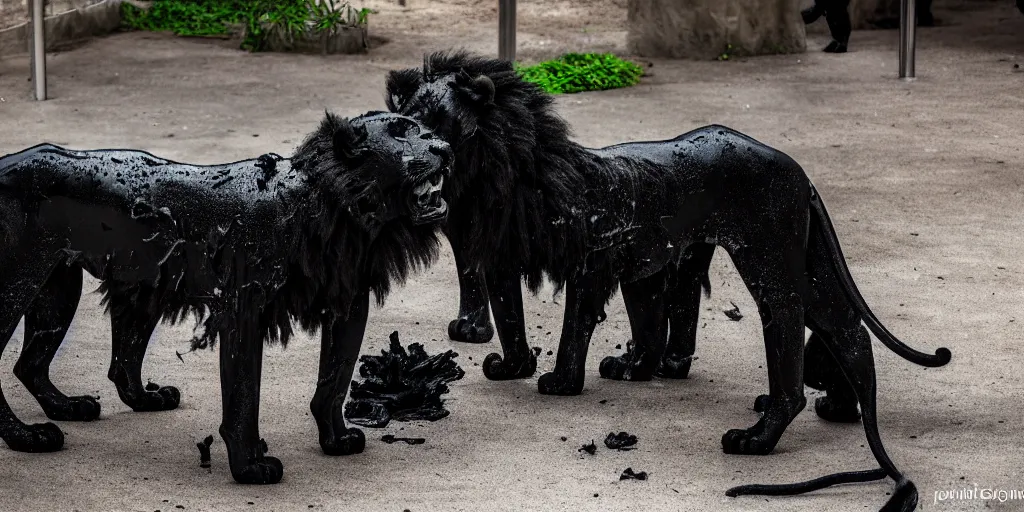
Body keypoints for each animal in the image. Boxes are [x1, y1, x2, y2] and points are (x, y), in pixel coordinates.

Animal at [0, 112, 452, 483]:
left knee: (51, 365)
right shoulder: (244, 313)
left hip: (68, 289)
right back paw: (27, 437)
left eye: (428, 130)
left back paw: (82, 406)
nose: (446, 149)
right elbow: (243, 397)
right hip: (19, 285)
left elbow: (335, 381)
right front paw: (250, 467)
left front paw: (335, 440)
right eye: (399, 133)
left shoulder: (349, 305)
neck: (333, 205)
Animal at [385, 49, 950, 505]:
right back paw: (837, 407)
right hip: (797, 259)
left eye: (437, 120)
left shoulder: (593, 260)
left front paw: (561, 382)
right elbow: (516, 315)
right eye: (407, 120)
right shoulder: (512, 259)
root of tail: (798, 169)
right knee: (842, 322)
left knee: (792, 332)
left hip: (769, 258)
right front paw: (516, 367)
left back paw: (756, 437)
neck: (497, 175)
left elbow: (575, 326)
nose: (423, 152)